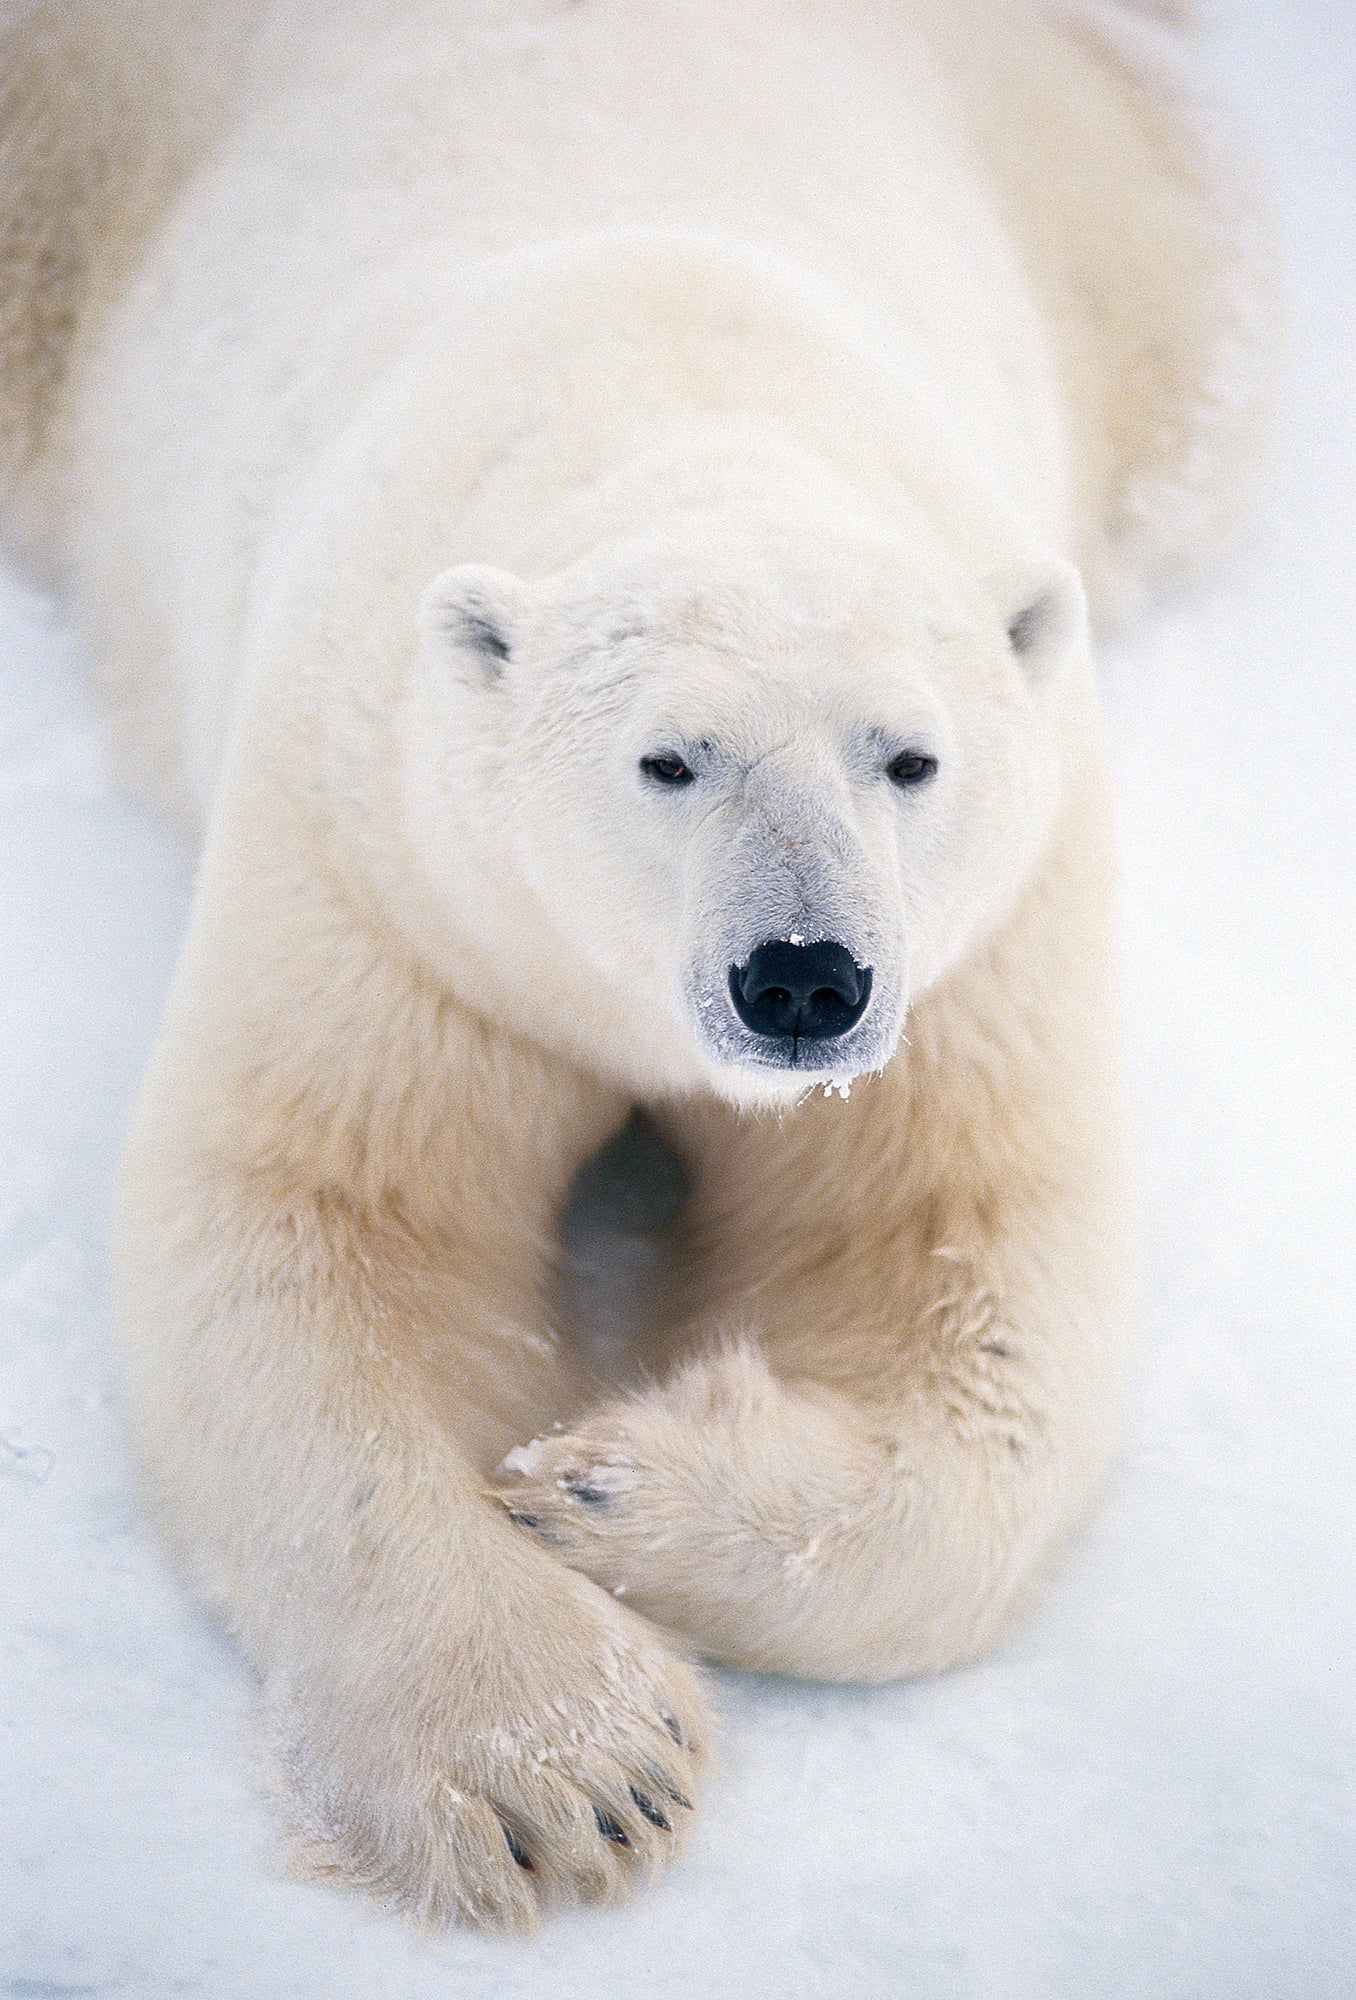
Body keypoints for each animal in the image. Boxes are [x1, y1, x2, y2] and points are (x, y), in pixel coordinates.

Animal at [0, 0, 1273, 1930]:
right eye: (670, 761)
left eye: (908, 757)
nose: (803, 979)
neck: (686, 394)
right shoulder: (394, 867)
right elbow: (318, 1216)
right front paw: (560, 1766)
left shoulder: (979, 953)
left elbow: (952, 1266)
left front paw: (618, 1490)